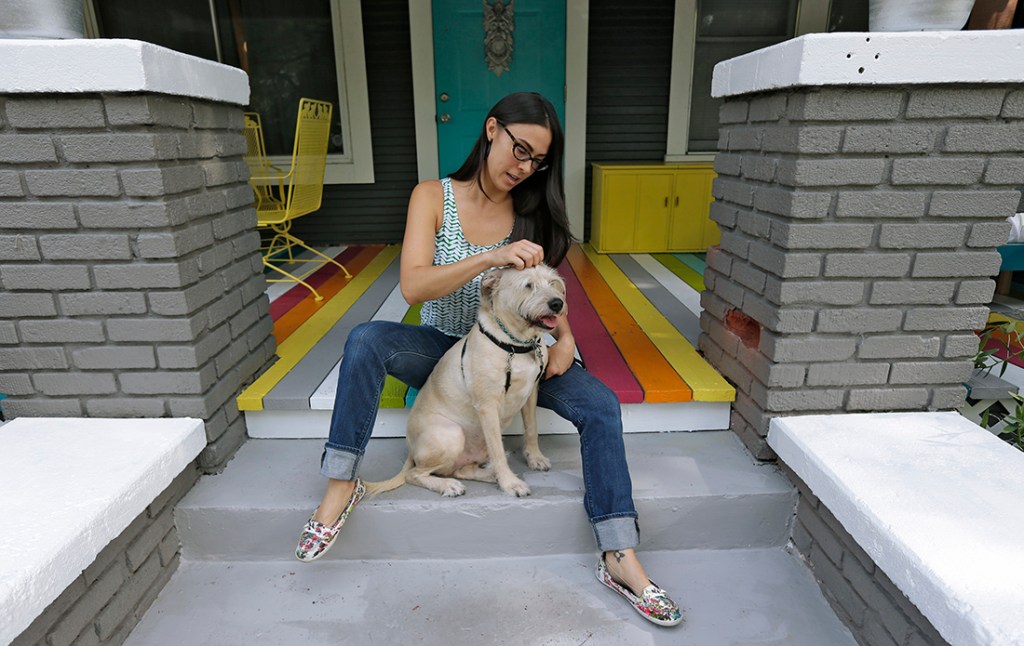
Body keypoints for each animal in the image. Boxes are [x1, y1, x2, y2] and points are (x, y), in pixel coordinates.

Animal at [366, 266, 569, 497]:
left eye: (552, 282)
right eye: (528, 285)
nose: (557, 303)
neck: (517, 343)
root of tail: (411, 449)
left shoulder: (531, 392)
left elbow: (532, 429)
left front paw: (534, 457)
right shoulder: (487, 406)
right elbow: (497, 451)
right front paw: (510, 483)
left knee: (461, 470)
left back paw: (488, 475)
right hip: (451, 435)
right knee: (415, 474)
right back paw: (450, 485)